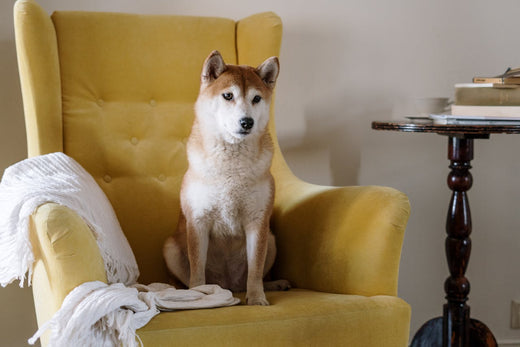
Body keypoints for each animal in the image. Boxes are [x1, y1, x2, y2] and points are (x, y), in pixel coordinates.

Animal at [165, 50, 290, 306]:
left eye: (256, 99)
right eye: (228, 95)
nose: (247, 122)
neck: (231, 166)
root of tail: (228, 285)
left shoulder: (257, 222)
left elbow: (255, 269)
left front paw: (257, 298)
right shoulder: (198, 222)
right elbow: (197, 268)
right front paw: (199, 295)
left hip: (272, 240)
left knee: (253, 277)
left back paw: (274, 284)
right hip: (170, 248)